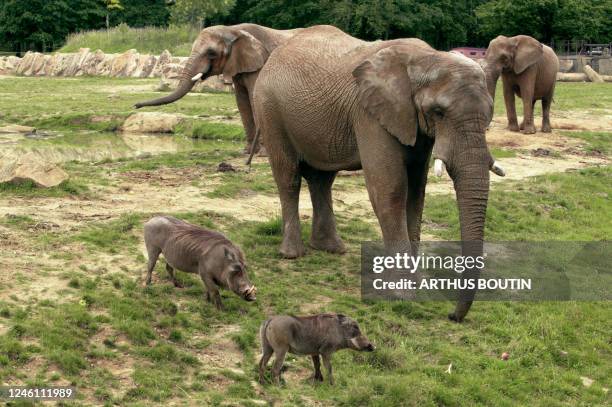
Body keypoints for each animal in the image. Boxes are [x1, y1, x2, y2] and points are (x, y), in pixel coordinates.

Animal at [137, 24, 304, 155]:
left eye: (211, 53)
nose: (136, 105)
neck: (232, 29)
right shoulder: (238, 65)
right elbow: (242, 102)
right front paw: (247, 151)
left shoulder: (258, 63)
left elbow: (253, 98)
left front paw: (263, 154)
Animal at [251, 27, 504, 324]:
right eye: (439, 112)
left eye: (489, 114)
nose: (452, 316)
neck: (427, 58)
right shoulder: (370, 115)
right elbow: (391, 189)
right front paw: (403, 293)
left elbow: (416, 191)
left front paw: (416, 282)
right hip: (269, 108)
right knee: (288, 176)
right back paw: (292, 254)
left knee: (322, 179)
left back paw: (330, 248)